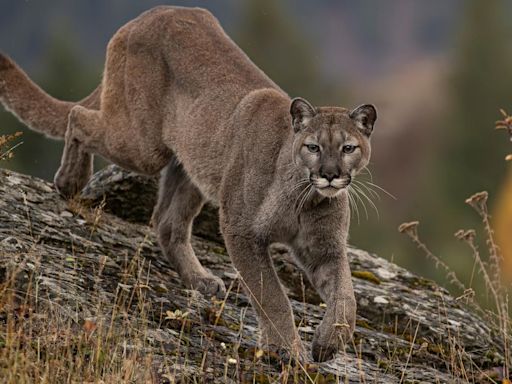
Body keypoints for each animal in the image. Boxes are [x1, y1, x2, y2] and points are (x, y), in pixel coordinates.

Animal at [0, 4, 376, 362]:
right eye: (313, 147)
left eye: (348, 148)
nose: (330, 173)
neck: (304, 196)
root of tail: (148, 14)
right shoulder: (242, 231)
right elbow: (271, 295)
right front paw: (288, 350)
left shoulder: (324, 248)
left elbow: (346, 297)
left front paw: (328, 343)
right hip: (142, 146)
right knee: (78, 116)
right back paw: (70, 181)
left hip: (192, 167)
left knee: (167, 223)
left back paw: (200, 279)